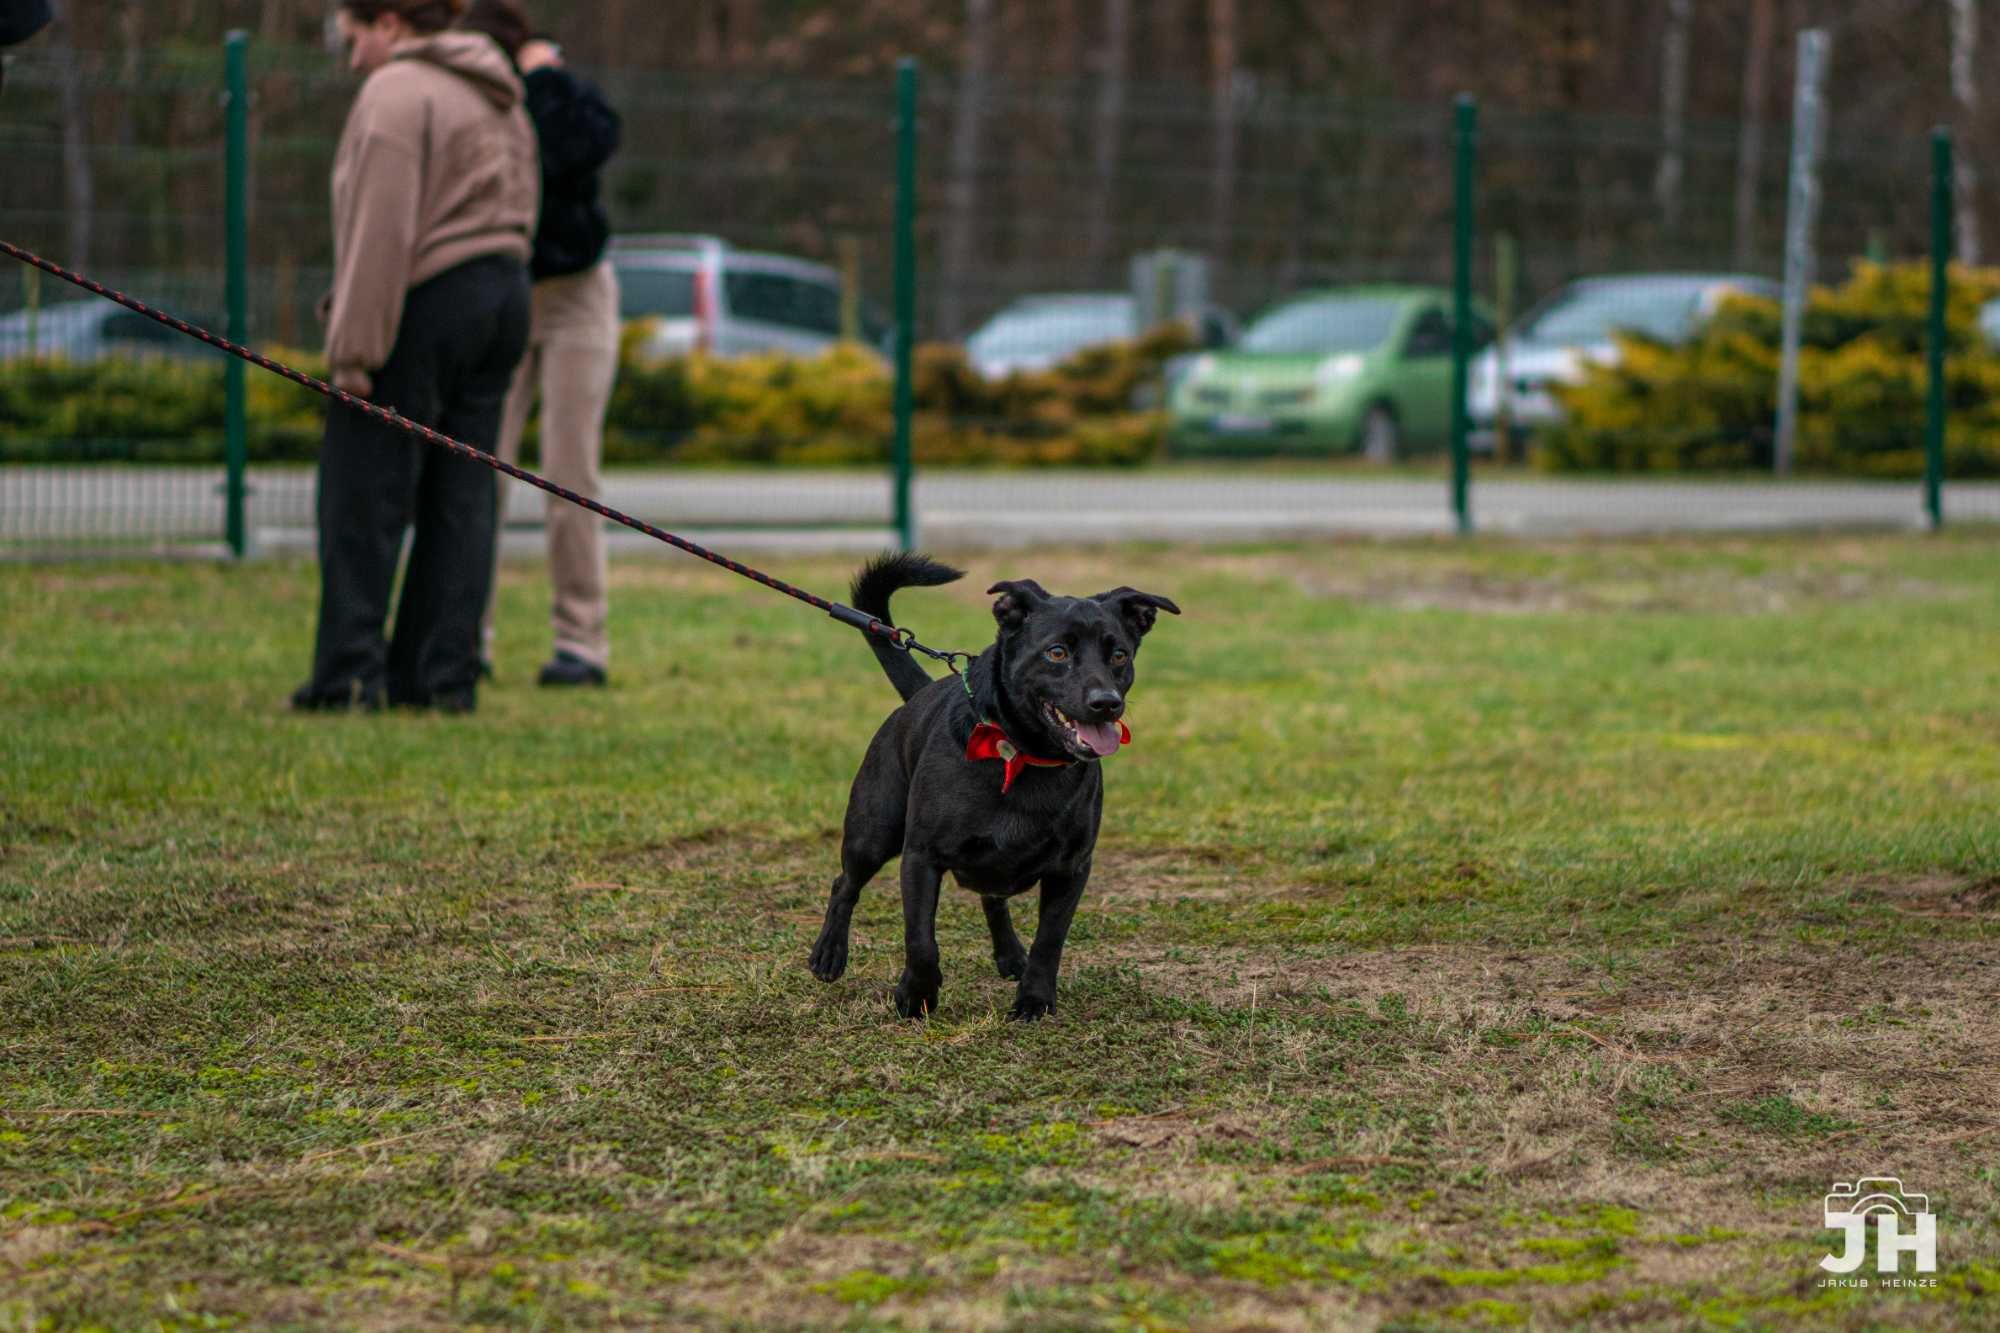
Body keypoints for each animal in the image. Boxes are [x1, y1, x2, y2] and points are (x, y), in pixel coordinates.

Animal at [808, 548, 1176, 1016]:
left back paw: (1010, 955)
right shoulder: (921, 856)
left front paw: (1034, 1000)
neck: (1023, 754)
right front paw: (916, 997)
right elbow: (921, 940)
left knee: (992, 899)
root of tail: (917, 696)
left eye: (1119, 656)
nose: (1106, 703)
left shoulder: (1072, 869)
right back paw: (829, 953)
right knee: (845, 883)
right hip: (872, 832)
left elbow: (1049, 941)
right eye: (1057, 652)